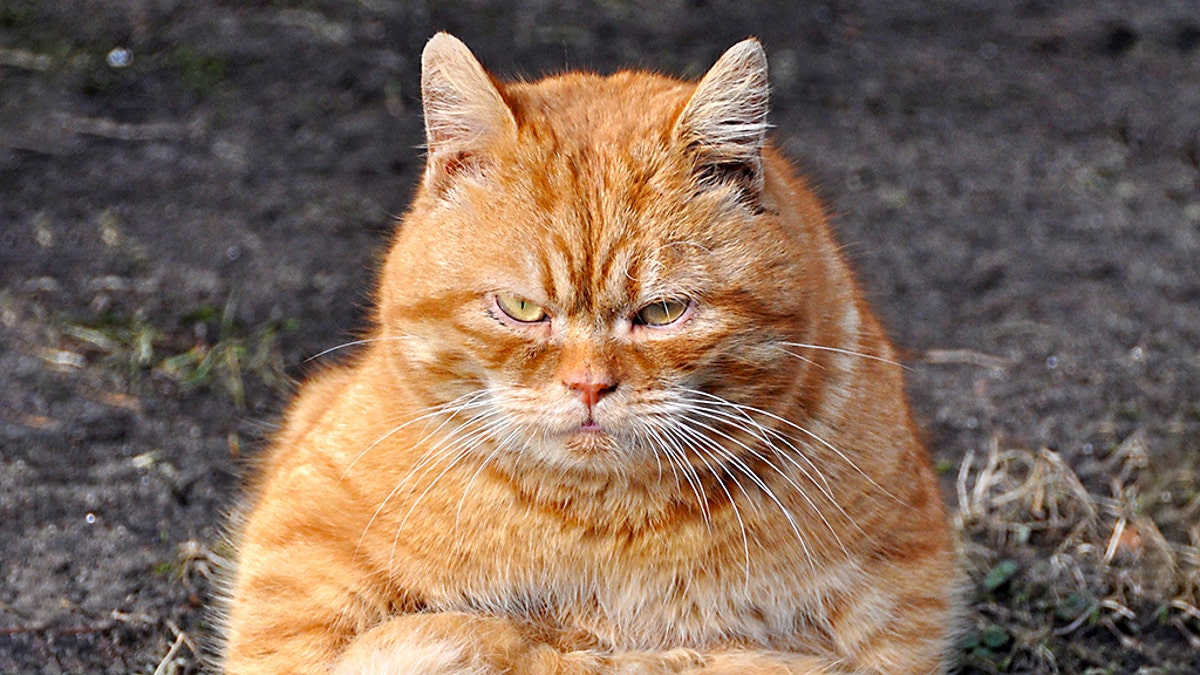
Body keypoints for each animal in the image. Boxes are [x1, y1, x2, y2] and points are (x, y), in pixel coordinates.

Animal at [220, 32, 960, 672]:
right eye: (521, 309)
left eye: (661, 312)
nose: (589, 387)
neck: (602, 527)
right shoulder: (301, 548)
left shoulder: (901, 599)